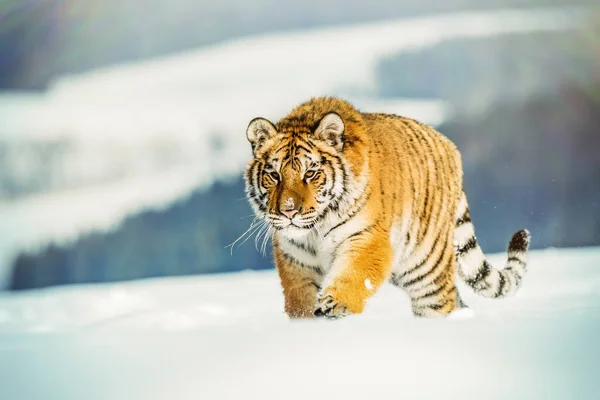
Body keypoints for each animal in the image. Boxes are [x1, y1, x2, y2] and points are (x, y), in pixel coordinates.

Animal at [244, 97, 528, 318]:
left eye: (310, 173)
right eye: (274, 175)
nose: (289, 211)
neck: (315, 230)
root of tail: (451, 146)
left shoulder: (366, 237)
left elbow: (353, 274)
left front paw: (335, 305)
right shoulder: (295, 257)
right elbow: (299, 298)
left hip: (427, 269)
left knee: (442, 301)